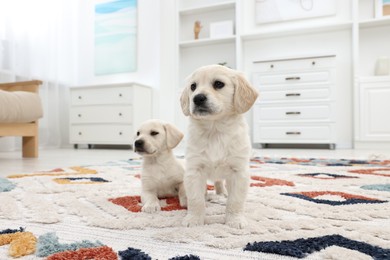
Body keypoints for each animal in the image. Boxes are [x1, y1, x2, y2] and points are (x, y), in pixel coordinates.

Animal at [180, 64, 258, 229]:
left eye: (218, 84)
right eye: (193, 87)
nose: (197, 98)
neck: (215, 130)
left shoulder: (238, 172)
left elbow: (235, 201)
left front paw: (235, 220)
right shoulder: (194, 171)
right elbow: (195, 200)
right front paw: (194, 219)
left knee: (219, 182)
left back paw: (222, 193)